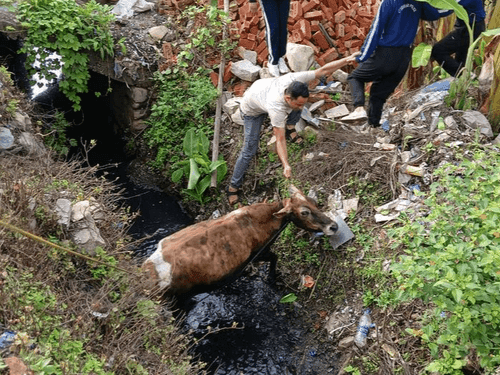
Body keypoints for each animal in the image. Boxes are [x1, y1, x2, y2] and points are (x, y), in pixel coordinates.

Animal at [141, 187, 338, 296]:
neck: (260, 220)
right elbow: (274, 257)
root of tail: (148, 270)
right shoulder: (259, 253)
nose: (333, 226)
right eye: (304, 212)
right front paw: (272, 278)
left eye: (314, 202)